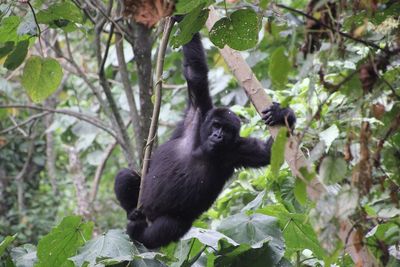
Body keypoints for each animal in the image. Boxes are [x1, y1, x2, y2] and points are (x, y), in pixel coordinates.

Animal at [114, 31, 296, 251]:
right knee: (125, 177)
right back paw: (132, 213)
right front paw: (181, 22)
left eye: (226, 130)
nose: (217, 136)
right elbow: (195, 73)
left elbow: (269, 152)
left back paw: (140, 234)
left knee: (170, 226)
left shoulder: (238, 150)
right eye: (216, 125)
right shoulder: (199, 110)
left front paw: (283, 115)